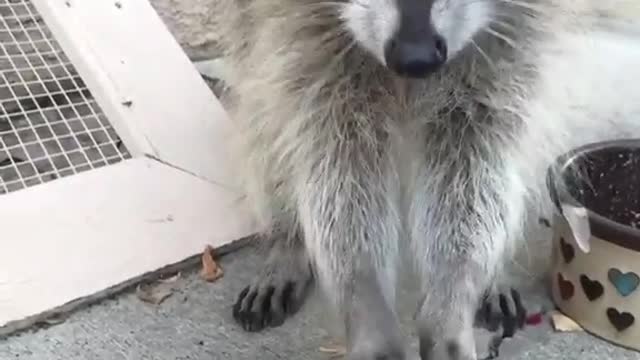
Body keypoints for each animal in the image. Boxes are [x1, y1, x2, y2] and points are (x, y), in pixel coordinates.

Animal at [210, 0, 640, 358]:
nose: (414, 57)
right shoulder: (303, 38)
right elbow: (337, 162)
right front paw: (364, 296)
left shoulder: (511, 40)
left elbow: (476, 163)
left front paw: (452, 298)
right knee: (264, 118)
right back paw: (287, 240)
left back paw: (493, 275)